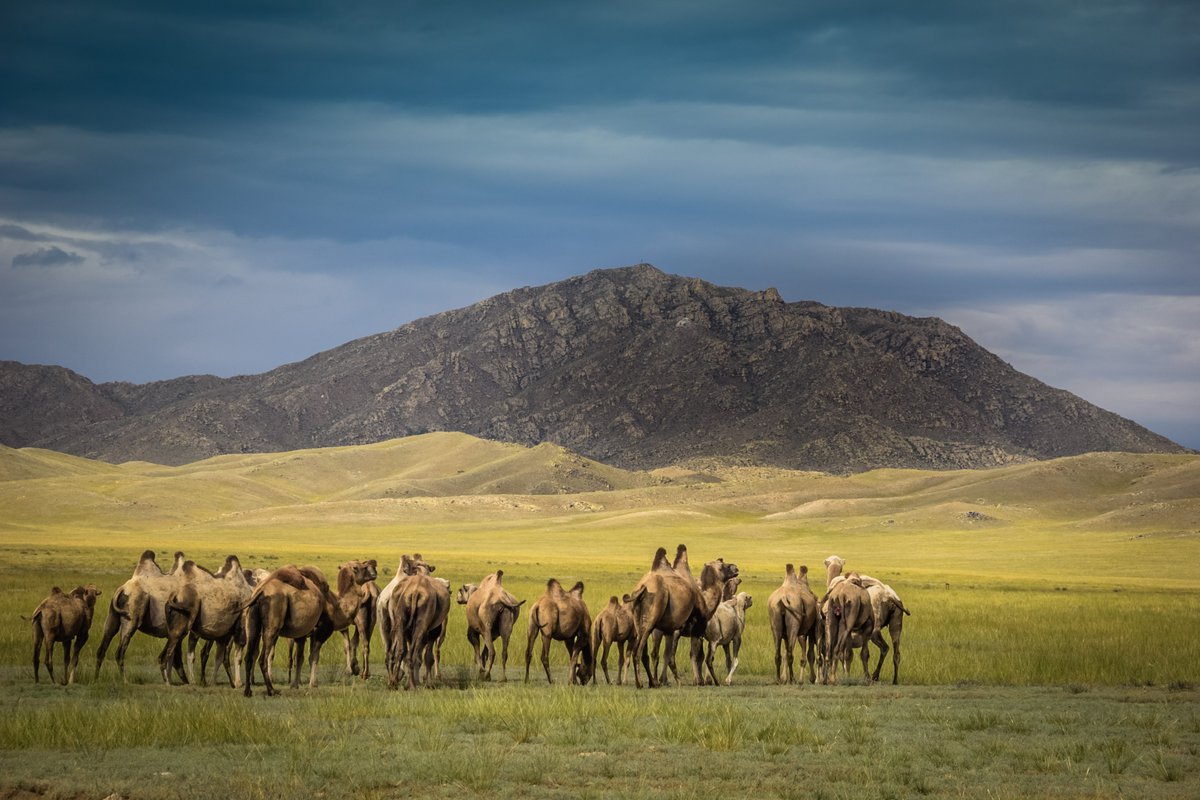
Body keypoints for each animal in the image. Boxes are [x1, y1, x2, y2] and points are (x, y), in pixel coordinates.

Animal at [94, 551, 187, 681]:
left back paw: (95, 678)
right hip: (133, 612)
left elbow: (174, 660)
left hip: (112, 615)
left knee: (102, 648)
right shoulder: (179, 631)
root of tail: (122, 589)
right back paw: (125, 680)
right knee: (119, 652)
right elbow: (177, 660)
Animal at [162, 556, 253, 690]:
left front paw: (213, 682)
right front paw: (238, 683)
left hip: (175, 627)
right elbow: (237, 656)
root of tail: (174, 596)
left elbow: (219, 657)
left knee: (178, 652)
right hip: (183, 628)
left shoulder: (223, 633)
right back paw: (176, 681)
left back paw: (186, 681)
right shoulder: (240, 625)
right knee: (173, 652)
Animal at [388, 556, 451, 690]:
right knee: (414, 653)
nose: (404, 569)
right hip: (423, 623)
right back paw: (411, 685)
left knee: (402, 651)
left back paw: (394, 683)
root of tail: (415, 591)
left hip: (401, 620)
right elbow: (428, 657)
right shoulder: (432, 632)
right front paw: (429, 684)